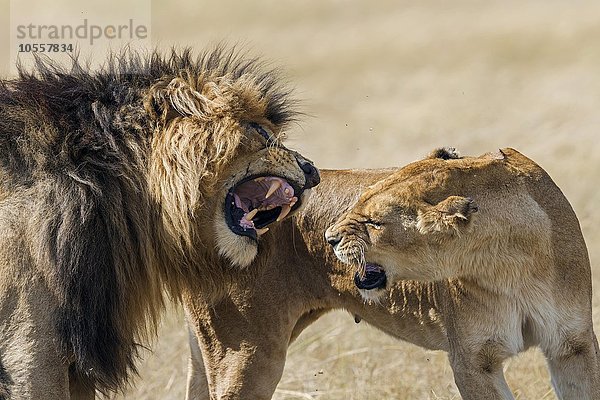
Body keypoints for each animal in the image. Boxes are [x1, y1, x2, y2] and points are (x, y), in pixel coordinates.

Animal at [328, 149, 600, 400]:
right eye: (359, 200)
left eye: (374, 222)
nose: (328, 238)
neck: (512, 262)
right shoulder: (472, 359)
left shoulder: (574, 344)